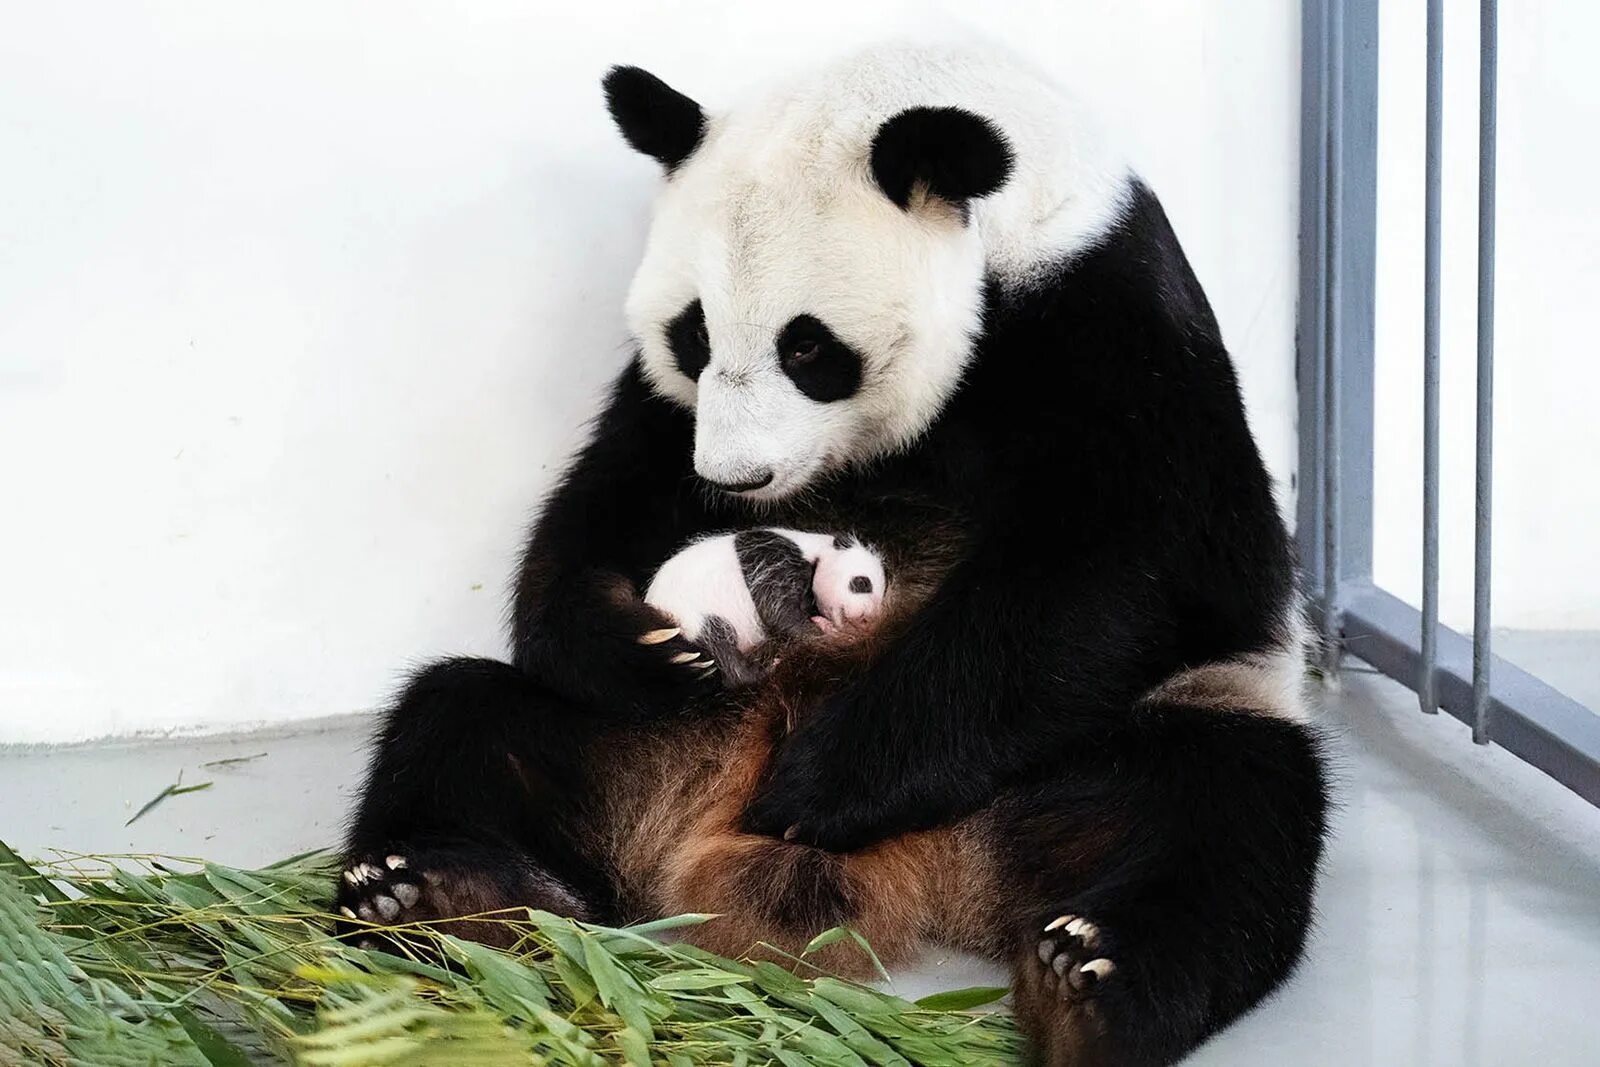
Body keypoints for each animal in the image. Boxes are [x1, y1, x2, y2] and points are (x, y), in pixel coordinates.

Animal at [344, 43, 1331, 1067]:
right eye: (692, 334)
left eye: (808, 347)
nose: (735, 478)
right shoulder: (667, 416)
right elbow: (609, 499)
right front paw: (638, 645)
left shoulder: (1109, 313)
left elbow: (1139, 559)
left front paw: (821, 785)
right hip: (640, 746)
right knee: (461, 719)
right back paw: (452, 901)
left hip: (1127, 743)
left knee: (1218, 815)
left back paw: (1088, 984)